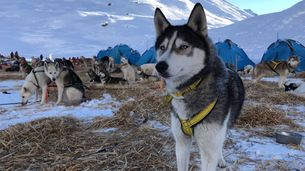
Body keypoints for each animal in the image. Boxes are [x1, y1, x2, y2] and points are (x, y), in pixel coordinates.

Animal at [153, 3, 243, 171]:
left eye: (183, 46)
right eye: (162, 47)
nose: (159, 66)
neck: (191, 87)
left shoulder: (209, 146)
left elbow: (214, 150)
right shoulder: (181, 143)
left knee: (221, 143)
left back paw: (221, 159)